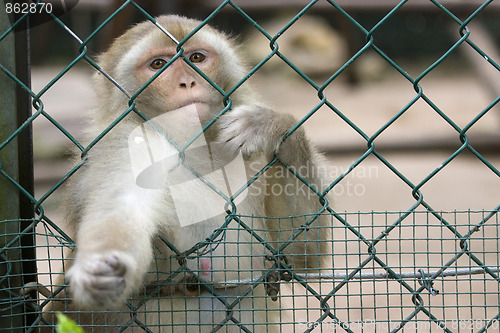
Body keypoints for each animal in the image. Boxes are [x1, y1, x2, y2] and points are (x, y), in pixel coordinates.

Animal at [42, 14, 332, 330]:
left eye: (196, 58)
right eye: (158, 64)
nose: (187, 81)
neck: (193, 148)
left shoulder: (250, 158)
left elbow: (298, 257)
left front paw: (273, 126)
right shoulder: (126, 141)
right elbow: (120, 206)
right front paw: (101, 268)